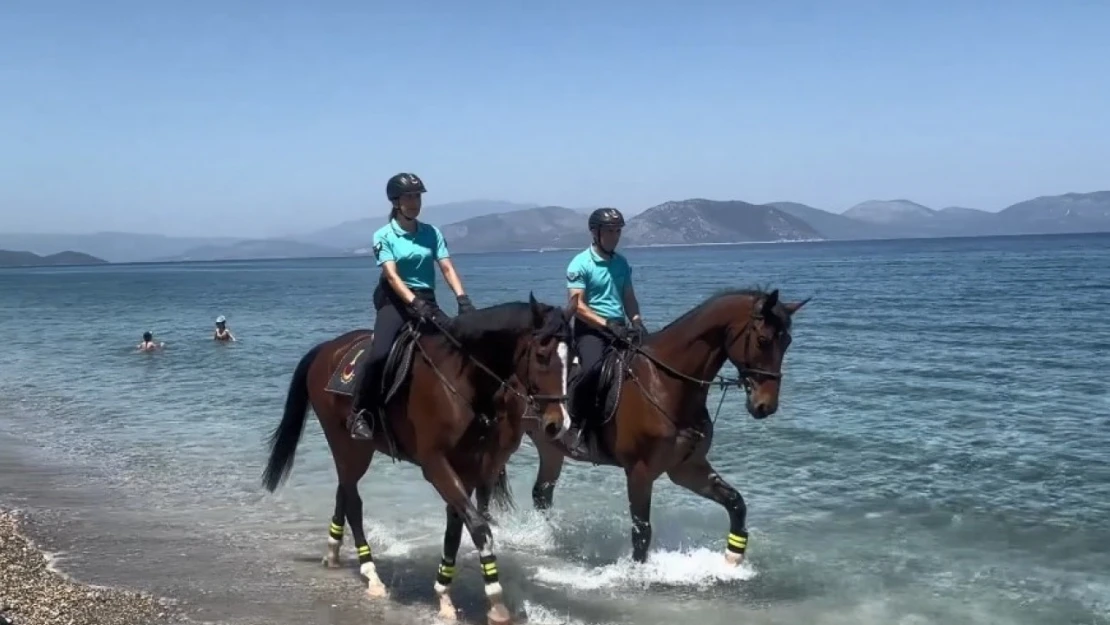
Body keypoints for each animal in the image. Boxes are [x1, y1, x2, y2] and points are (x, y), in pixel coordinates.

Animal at [259, 295, 572, 625]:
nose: (558, 423)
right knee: (354, 501)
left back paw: (333, 552)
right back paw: (371, 574)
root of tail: (328, 348)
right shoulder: (436, 466)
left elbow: (456, 529)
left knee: (344, 490)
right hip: (347, 445)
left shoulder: (469, 469)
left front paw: (444, 594)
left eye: (574, 359)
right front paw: (496, 601)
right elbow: (478, 527)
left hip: (355, 451)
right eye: (542, 355)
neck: (461, 381)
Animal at [477, 286, 808, 568]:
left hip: (551, 446)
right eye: (763, 340)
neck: (667, 383)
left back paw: (546, 538)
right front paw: (636, 574)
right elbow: (642, 531)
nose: (765, 406)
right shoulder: (639, 471)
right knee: (487, 482)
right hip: (506, 438)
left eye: (788, 341)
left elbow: (736, 503)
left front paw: (732, 557)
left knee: (542, 494)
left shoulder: (687, 468)